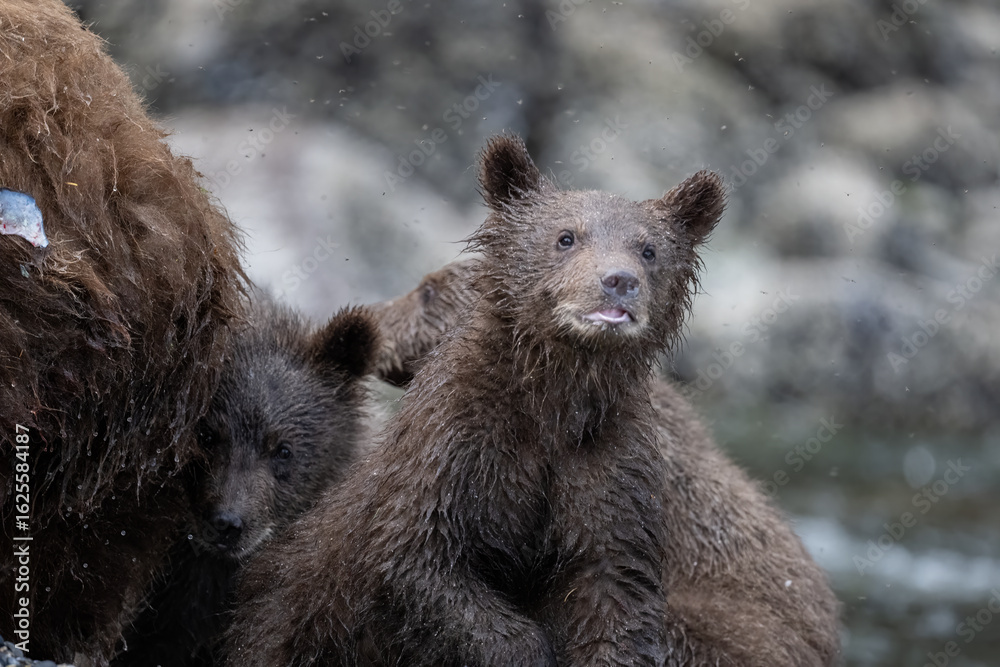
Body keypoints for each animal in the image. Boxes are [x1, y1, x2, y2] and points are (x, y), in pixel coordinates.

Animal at [226, 134, 727, 666]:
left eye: (649, 249)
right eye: (566, 237)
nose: (618, 281)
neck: (554, 400)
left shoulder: (607, 465)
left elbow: (612, 581)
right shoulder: (456, 450)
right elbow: (422, 561)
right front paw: (528, 650)